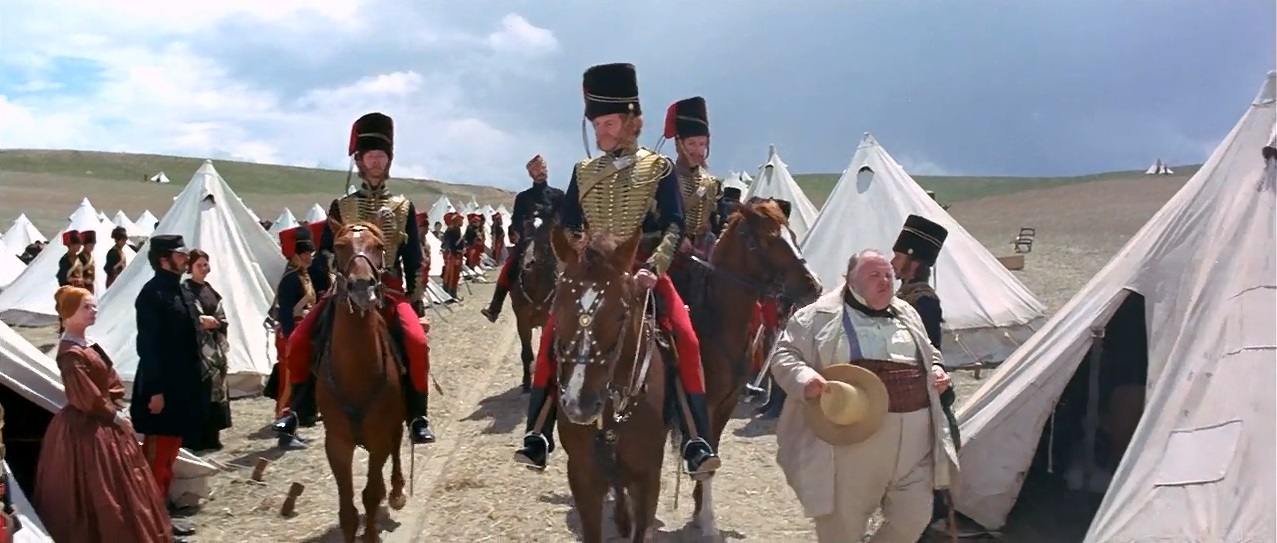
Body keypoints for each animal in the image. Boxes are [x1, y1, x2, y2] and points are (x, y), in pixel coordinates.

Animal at [315, 221, 406, 541]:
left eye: (378, 246)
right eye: (339, 246)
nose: (362, 288)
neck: (356, 373)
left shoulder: (379, 437)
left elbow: (371, 493)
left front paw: (371, 534)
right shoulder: (337, 443)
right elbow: (347, 507)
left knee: (397, 446)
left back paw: (398, 491)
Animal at [508, 214, 554, 388]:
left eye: (545, 233)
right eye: (525, 231)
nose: (527, 262)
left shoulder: (548, 319)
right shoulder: (522, 321)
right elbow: (526, 353)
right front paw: (527, 381)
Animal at [684, 200, 822, 536]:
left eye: (793, 235)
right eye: (771, 241)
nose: (814, 285)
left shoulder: (724, 404)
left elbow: (711, 454)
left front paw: (700, 512)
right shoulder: (703, 403)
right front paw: (707, 521)